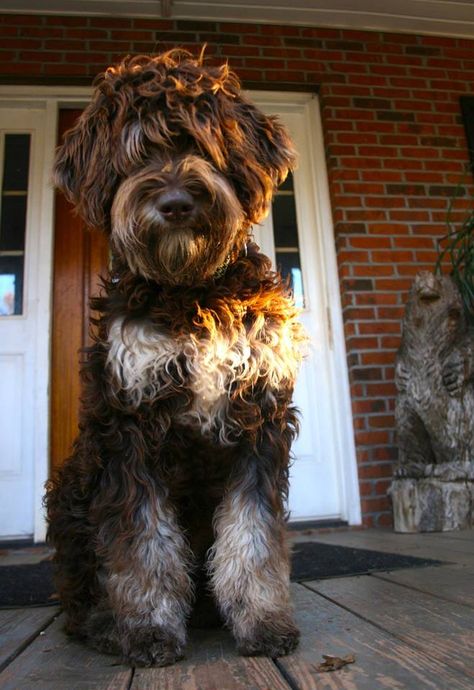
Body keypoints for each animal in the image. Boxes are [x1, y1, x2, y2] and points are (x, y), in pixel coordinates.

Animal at [44, 49, 304, 668]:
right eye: (138, 152)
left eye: (204, 146)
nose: (176, 203)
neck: (192, 289)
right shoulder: (129, 423)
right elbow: (143, 544)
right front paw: (148, 631)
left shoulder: (259, 420)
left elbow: (252, 537)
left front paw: (263, 622)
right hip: (72, 485)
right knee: (77, 592)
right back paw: (105, 625)